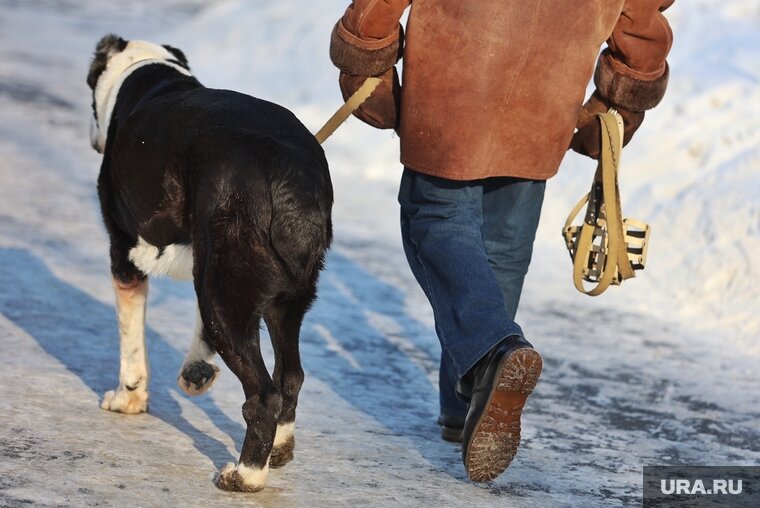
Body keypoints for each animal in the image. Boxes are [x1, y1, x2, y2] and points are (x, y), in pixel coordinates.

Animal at [86, 32, 332, 492]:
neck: (152, 74)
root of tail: (286, 171)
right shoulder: (207, 259)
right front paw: (197, 371)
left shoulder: (124, 252)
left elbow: (131, 338)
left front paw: (128, 397)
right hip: (277, 298)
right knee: (290, 375)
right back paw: (278, 448)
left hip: (229, 292)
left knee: (264, 393)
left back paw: (247, 475)